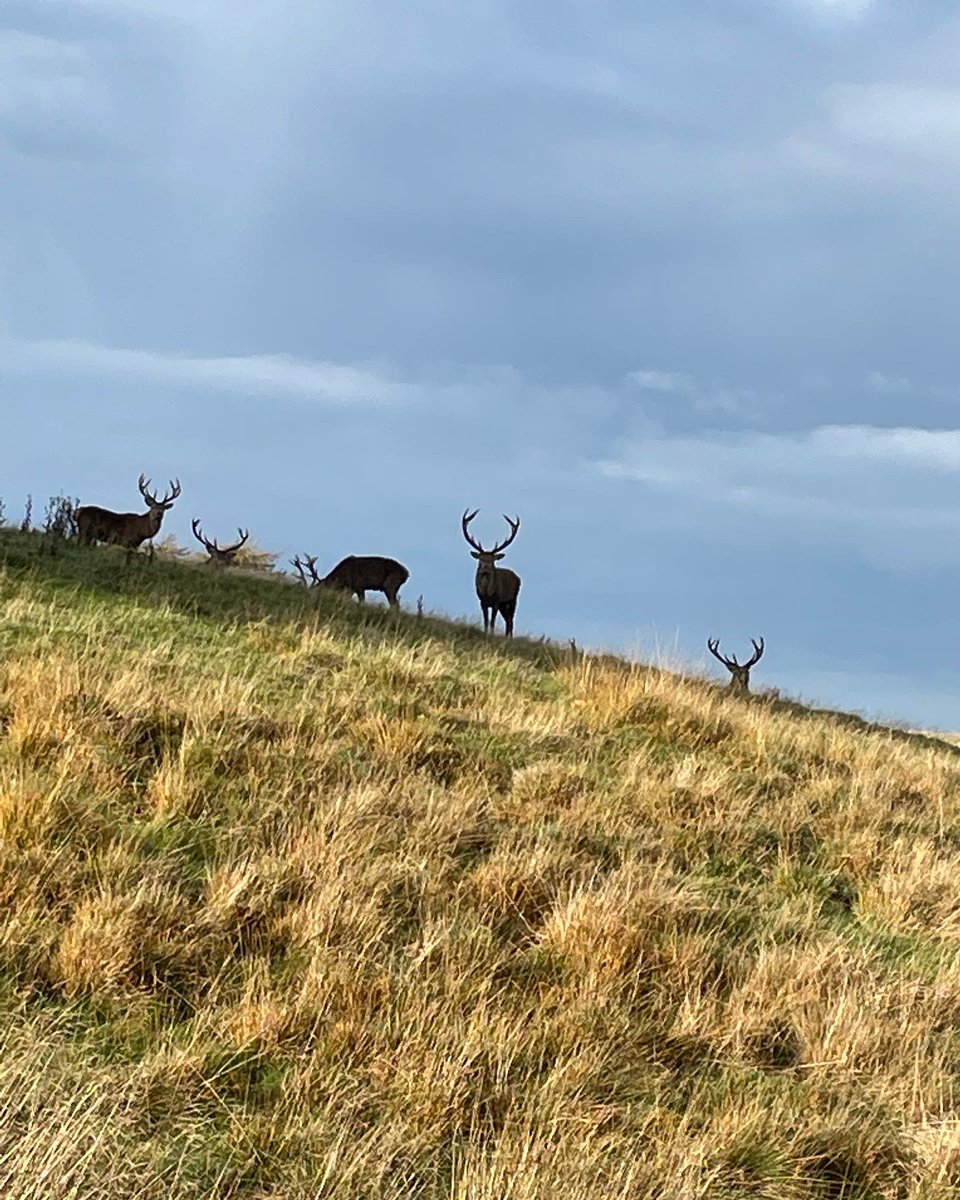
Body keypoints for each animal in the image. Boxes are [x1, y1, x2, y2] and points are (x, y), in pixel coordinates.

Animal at [461, 509, 521, 637]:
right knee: (507, 620)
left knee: (511, 620)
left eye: (492, 560)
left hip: (513, 599)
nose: (485, 569)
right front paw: (485, 632)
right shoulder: (482, 602)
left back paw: (509, 637)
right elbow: (486, 620)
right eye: (480, 559)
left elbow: (492, 621)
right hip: (504, 605)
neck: (487, 593)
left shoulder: (496, 601)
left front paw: (491, 634)